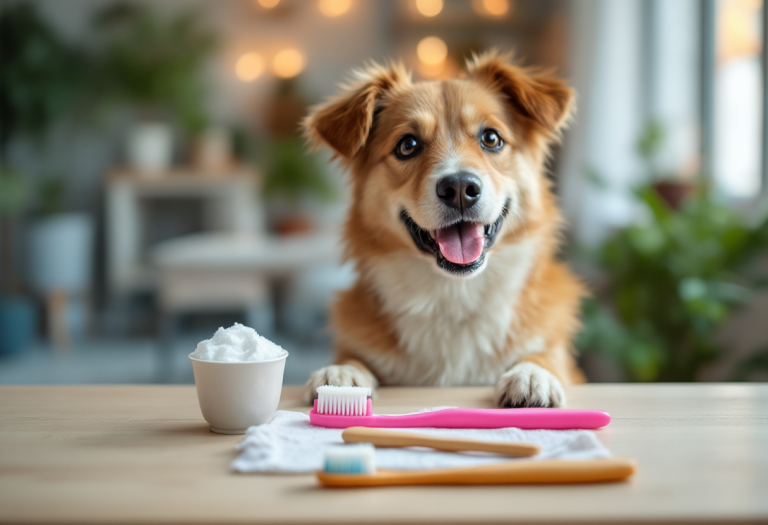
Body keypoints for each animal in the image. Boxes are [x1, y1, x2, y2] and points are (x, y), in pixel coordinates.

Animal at [304, 49, 584, 408]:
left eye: (491, 138)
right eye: (407, 145)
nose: (460, 188)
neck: (454, 293)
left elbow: (545, 356)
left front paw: (534, 373)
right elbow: (352, 358)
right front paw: (340, 373)